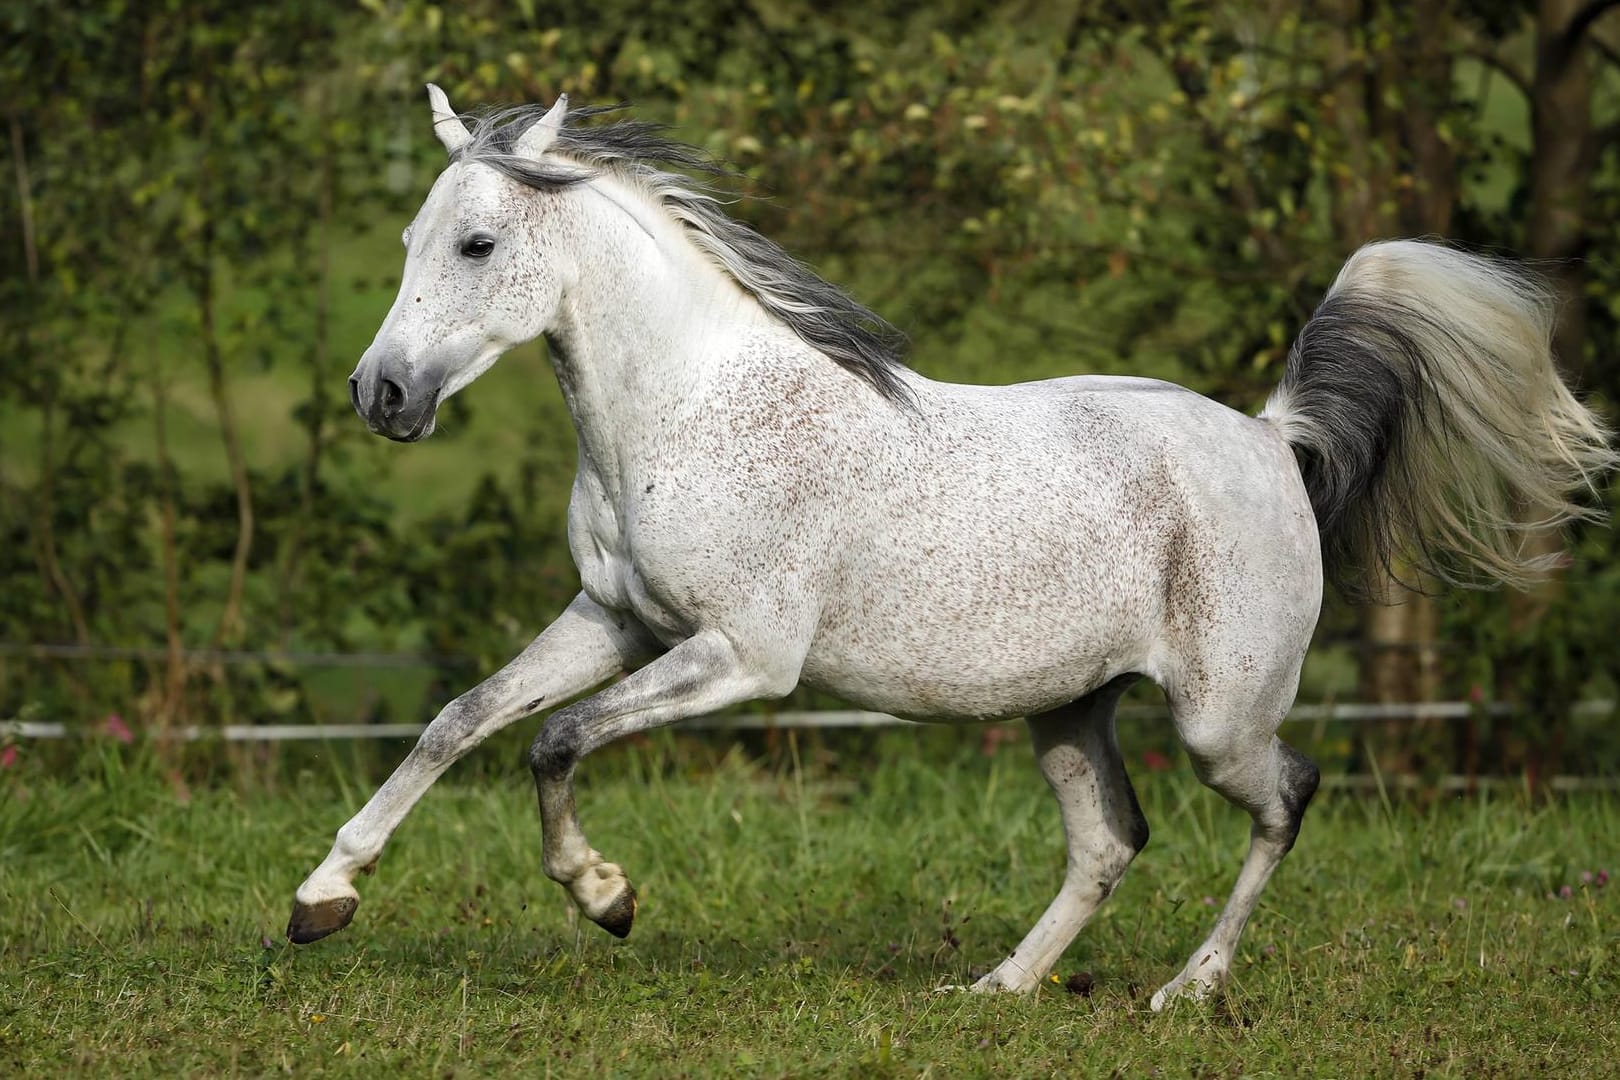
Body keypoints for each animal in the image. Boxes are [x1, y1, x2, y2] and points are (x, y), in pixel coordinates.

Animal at [285, 88, 1613, 1010]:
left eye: (476, 247)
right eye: (407, 239)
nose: (381, 394)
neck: (689, 407)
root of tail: (1272, 437)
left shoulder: (740, 658)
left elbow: (554, 741)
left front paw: (605, 898)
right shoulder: (613, 619)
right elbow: (462, 720)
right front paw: (320, 899)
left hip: (1218, 718)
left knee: (1286, 796)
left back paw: (1188, 989)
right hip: (1068, 706)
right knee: (1110, 840)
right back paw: (998, 989)